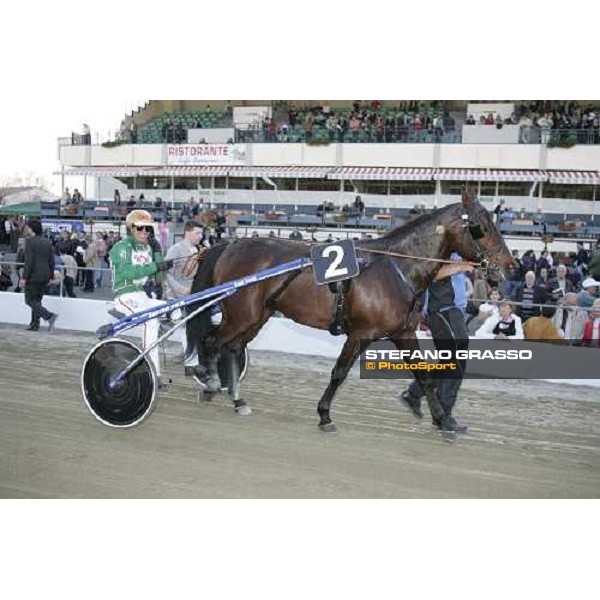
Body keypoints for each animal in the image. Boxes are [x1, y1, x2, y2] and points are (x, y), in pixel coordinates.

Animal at [188, 191, 510, 432]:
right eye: (481, 226)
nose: (509, 265)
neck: (396, 268)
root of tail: (230, 244)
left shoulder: (404, 333)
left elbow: (424, 375)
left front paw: (443, 420)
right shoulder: (360, 333)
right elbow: (339, 372)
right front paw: (324, 415)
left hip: (257, 316)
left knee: (232, 347)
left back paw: (236, 399)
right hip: (240, 314)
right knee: (211, 342)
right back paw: (209, 381)